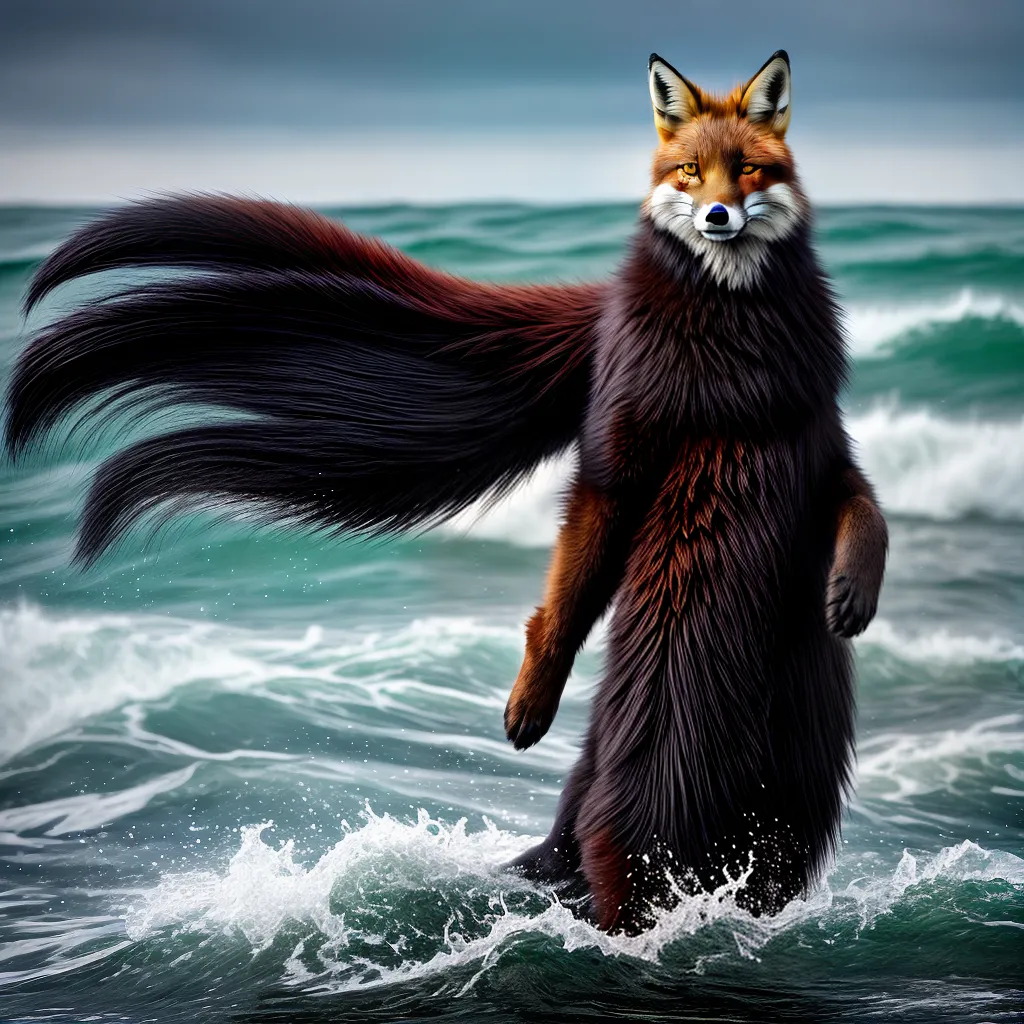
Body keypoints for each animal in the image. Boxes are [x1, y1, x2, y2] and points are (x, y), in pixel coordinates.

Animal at [4, 50, 886, 934]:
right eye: (688, 172)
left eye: (748, 170)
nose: (716, 216)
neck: (733, 349)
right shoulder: (615, 453)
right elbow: (565, 594)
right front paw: (530, 706)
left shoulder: (818, 439)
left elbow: (864, 510)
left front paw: (851, 597)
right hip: (665, 760)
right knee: (620, 858)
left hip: (782, 804)